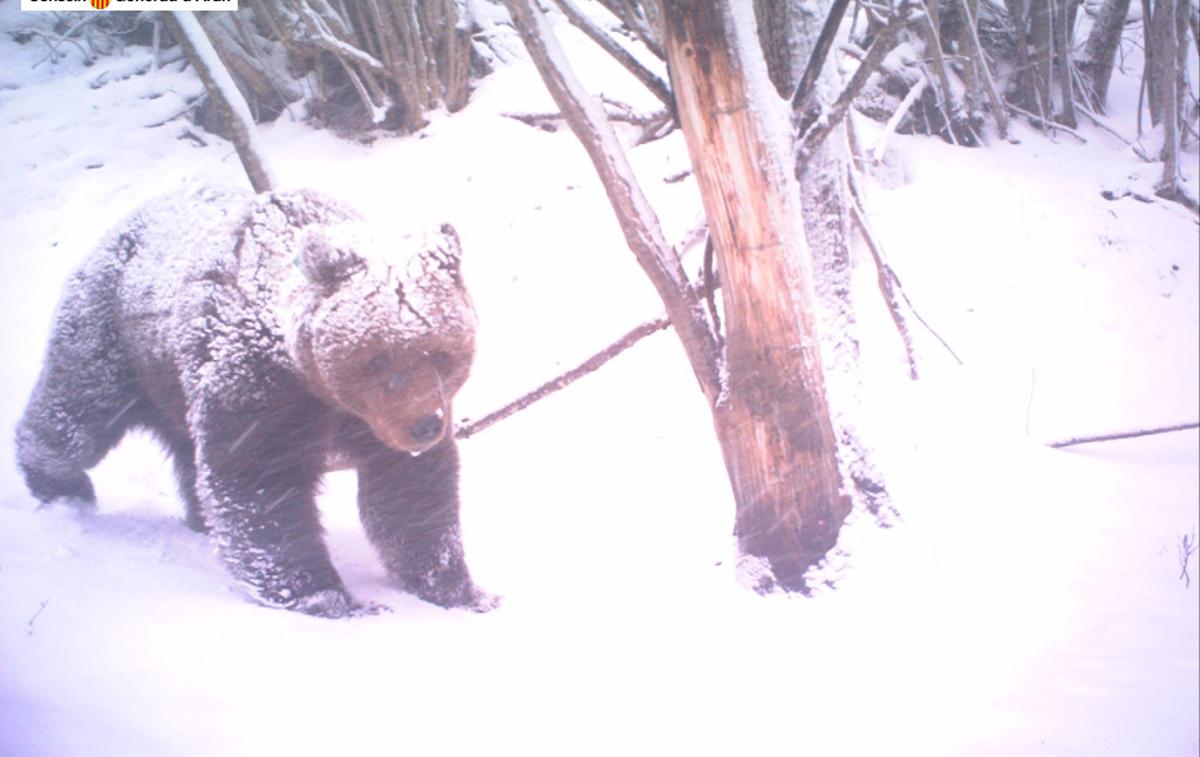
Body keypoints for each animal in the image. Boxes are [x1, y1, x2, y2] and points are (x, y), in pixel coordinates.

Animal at [14, 187, 492, 619]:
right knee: (78, 412)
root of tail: (128, 220)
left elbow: (411, 491)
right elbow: (261, 484)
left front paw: (459, 589)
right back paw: (61, 484)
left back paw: (198, 518)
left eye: (441, 352)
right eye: (377, 357)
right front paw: (328, 597)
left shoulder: (374, 421)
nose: (424, 426)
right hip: (117, 337)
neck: (317, 386)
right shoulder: (259, 389)